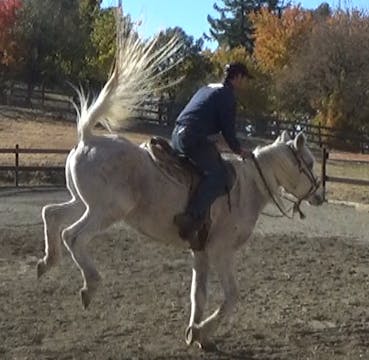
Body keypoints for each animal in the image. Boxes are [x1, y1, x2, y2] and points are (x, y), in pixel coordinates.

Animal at [36, 18, 320, 350]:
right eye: (309, 163)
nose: (320, 195)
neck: (247, 187)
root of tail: (88, 138)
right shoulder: (221, 252)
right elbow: (232, 297)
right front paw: (204, 331)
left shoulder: (201, 253)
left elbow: (199, 295)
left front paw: (195, 333)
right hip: (106, 211)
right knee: (73, 236)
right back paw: (90, 285)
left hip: (82, 202)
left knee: (52, 214)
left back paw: (46, 262)